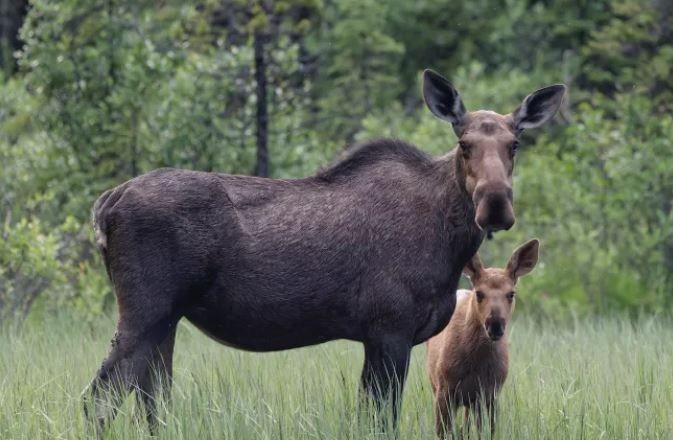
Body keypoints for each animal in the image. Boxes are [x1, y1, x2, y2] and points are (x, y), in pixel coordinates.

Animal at [426, 239, 540, 438]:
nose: (495, 325)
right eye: (479, 293)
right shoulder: (444, 390)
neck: (476, 362)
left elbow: (487, 433)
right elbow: (443, 433)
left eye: (511, 294)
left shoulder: (491, 394)